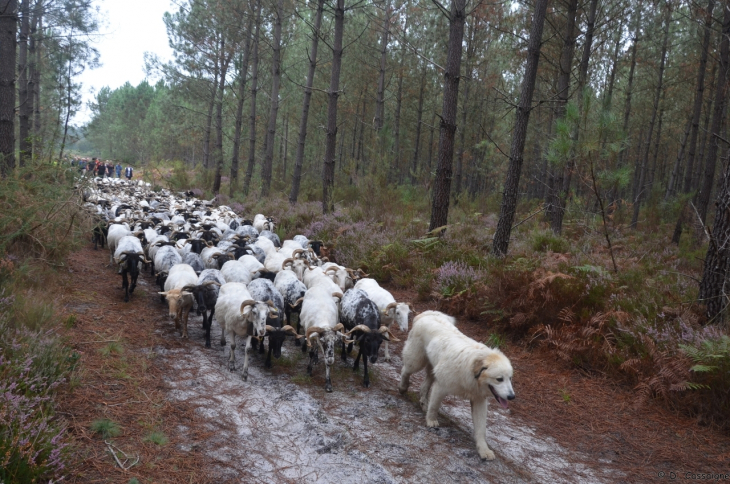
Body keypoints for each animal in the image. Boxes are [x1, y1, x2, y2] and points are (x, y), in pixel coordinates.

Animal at [398, 312, 512, 460]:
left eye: (510, 378)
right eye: (499, 379)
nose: (512, 396)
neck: (472, 371)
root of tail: (427, 314)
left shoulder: (479, 400)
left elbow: (481, 428)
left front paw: (484, 450)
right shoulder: (441, 386)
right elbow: (435, 406)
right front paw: (431, 420)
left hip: (432, 368)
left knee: (425, 385)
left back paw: (423, 402)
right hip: (416, 361)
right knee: (406, 370)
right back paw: (403, 387)